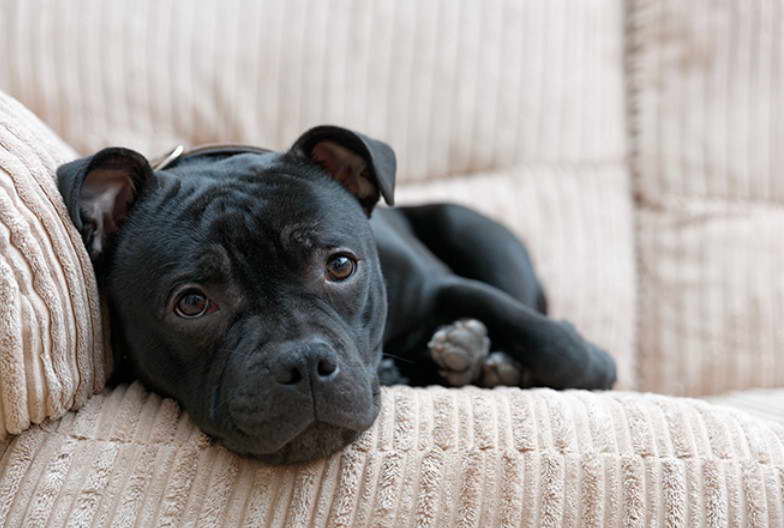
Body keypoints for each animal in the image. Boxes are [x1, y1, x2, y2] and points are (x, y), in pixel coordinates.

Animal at [56, 126, 620, 464]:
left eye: (341, 266)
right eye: (192, 303)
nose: (305, 362)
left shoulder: (436, 285)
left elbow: (532, 328)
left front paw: (592, 365)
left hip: (472, 227)